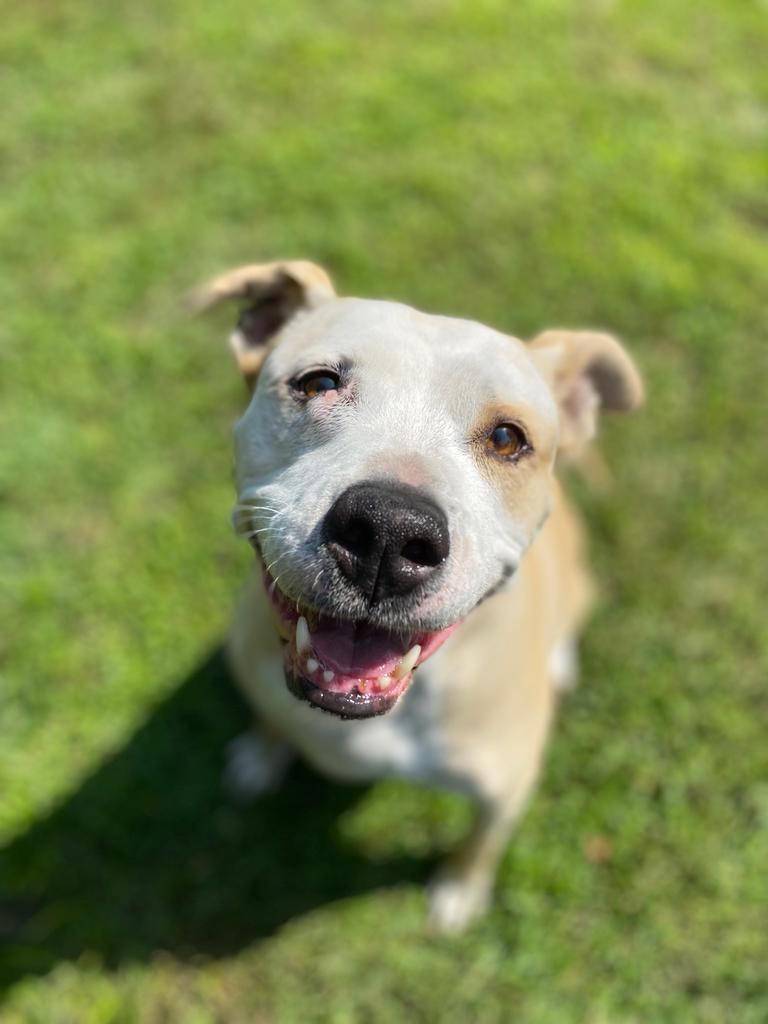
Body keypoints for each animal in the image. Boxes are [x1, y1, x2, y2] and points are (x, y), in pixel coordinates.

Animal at [192, 260, 643, 933]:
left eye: (507, 438)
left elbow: (480, 843)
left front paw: (459, 890)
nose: (387, 531)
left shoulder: (506, 788)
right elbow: (272, 717)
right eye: (318, 383)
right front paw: (262, 754)